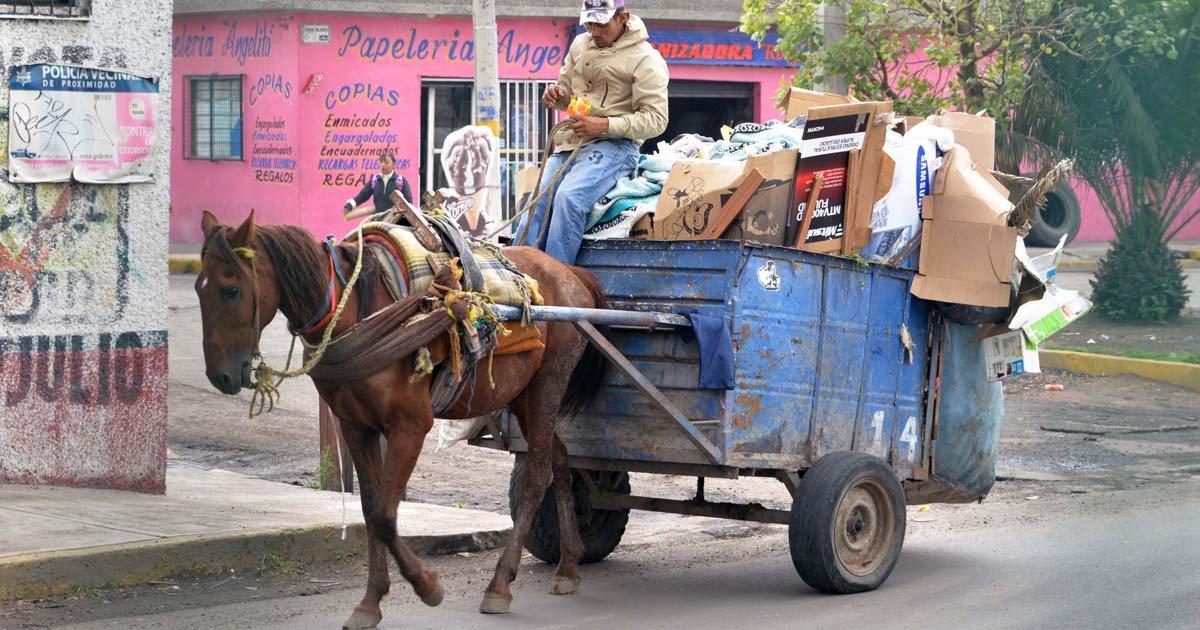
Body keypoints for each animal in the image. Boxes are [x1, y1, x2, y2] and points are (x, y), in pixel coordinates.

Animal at [198, 210, 609, 624]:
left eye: (231, 290)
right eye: (200, 290)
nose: (220, 376)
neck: (356, 310)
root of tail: (569, 273)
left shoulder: (410, 426)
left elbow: (384, 513)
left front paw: (427, 585)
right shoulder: (355, 427)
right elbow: (371, 510)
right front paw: (370, 601)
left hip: (548, 384)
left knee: (538, 474)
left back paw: (500, 583)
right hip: (523, 395)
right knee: (560, 461)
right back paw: (568, 565)